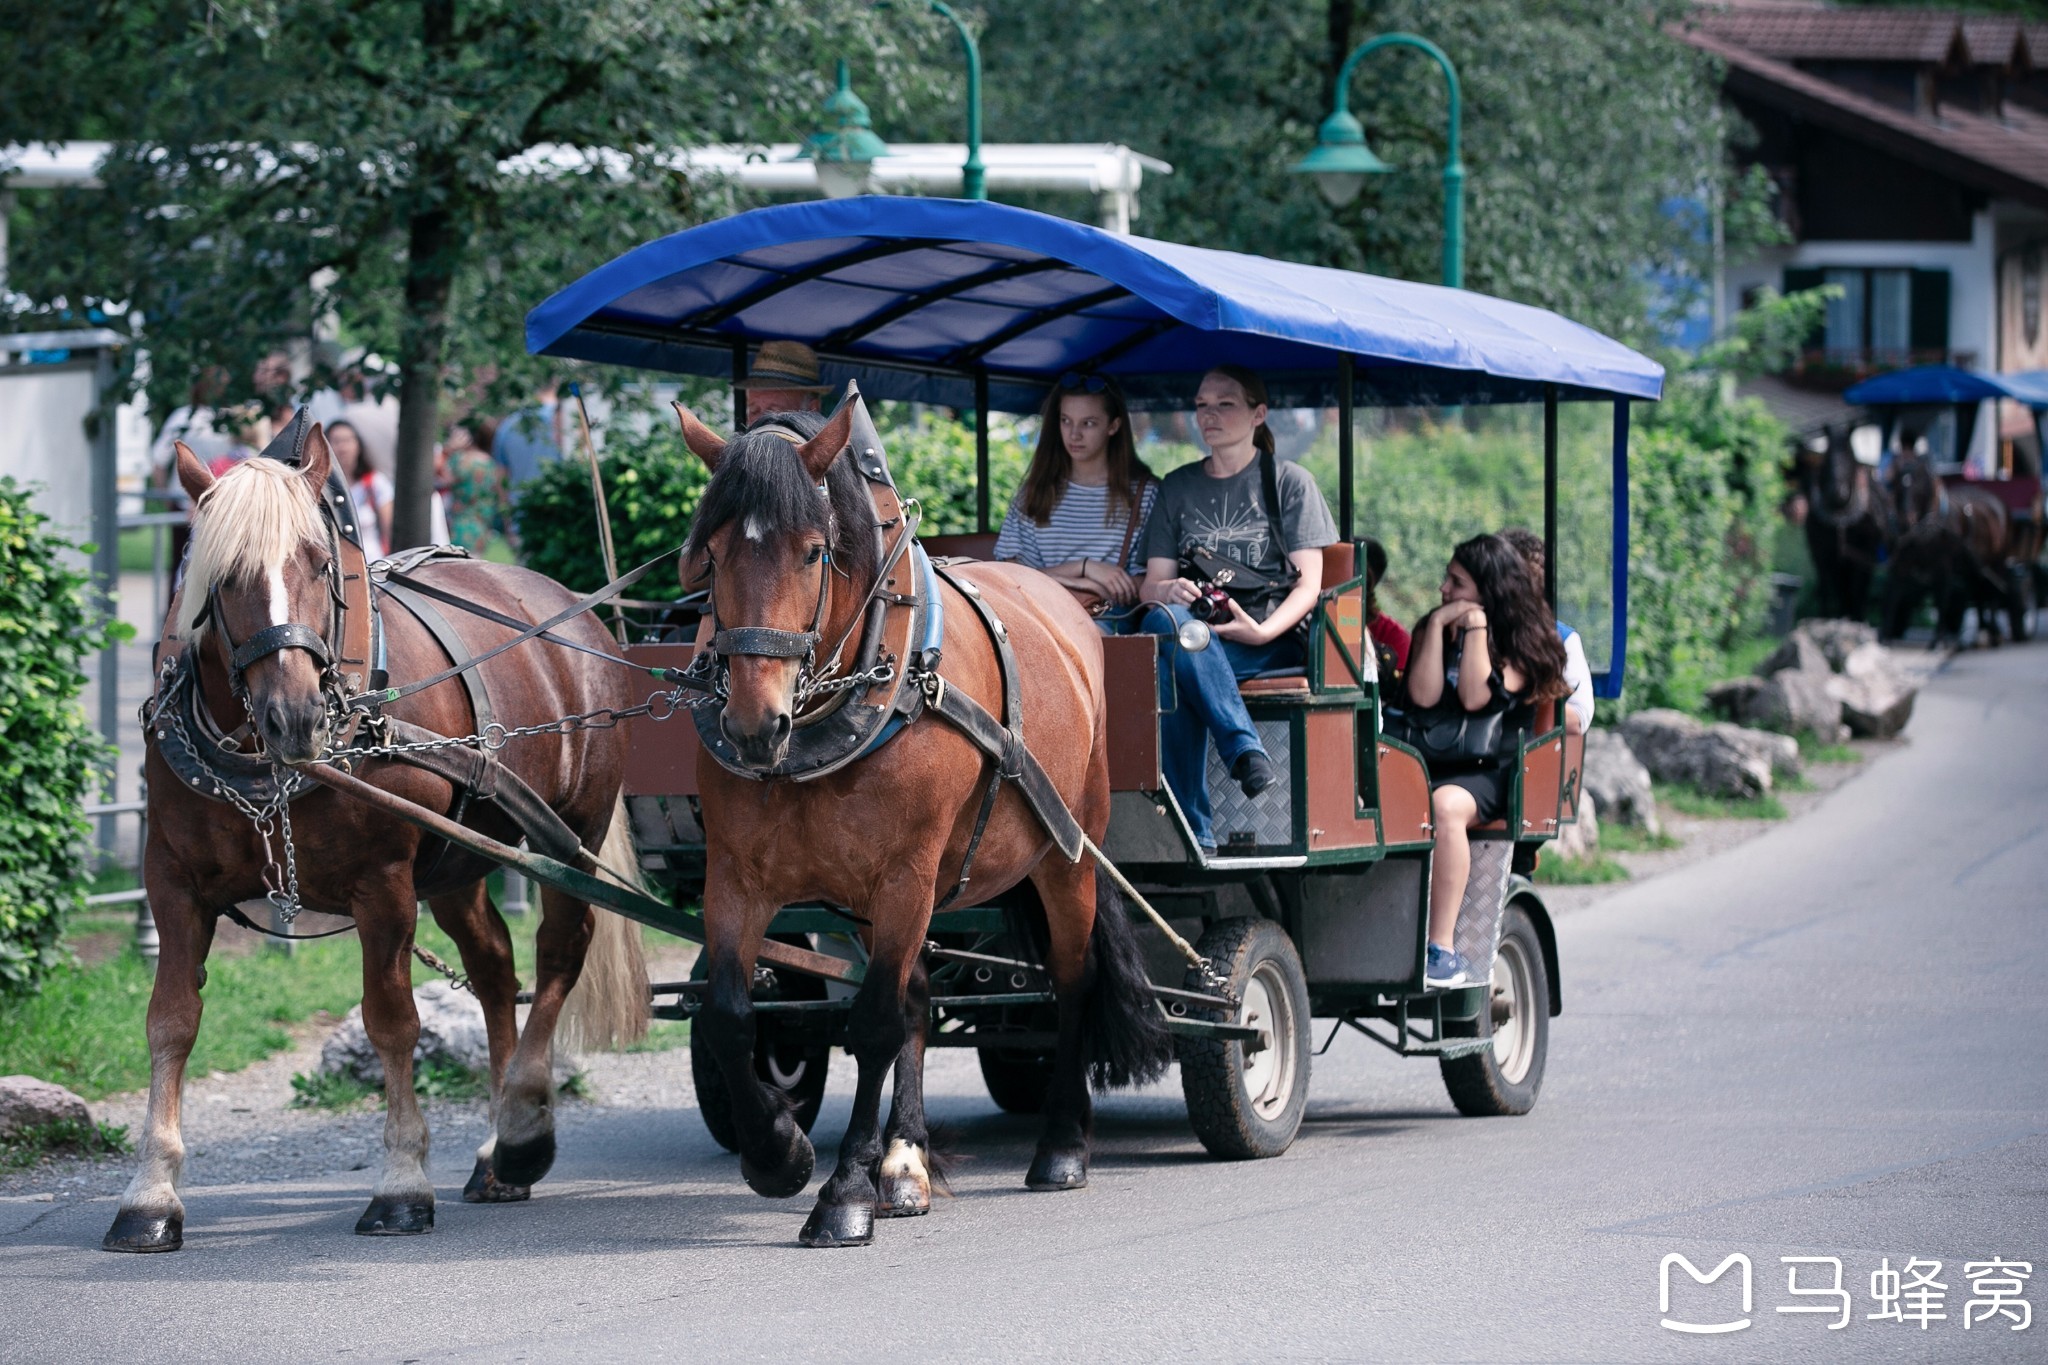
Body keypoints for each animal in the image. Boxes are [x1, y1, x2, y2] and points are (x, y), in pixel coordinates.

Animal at [105, 431, 647, 1252]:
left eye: (319, 562)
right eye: (221, 576)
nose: (294, 715)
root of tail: (571, 614)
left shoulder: (384, 883)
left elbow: (392, 1023)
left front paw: (400, 1181)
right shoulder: (172, 882)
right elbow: (170, 1021)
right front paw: (150, 1192)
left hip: (565, 834)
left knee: (559, 953)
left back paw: (523, 1120)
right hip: (463, 858)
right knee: (495, 967)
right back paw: (497, 1148)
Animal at [671, 394, 1171, 1252]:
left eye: (814, 552)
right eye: (710, 552)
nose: (752, 725)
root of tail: (1063, 603)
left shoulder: (905, 870)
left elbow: (872, 1022)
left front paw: (843, 1192)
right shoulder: (737, 875)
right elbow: (730, 1013)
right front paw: (779, 1152)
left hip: (1065, 852)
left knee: (1071, 980)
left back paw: (1061, 1144)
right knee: (918, 993)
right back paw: (905, 1162)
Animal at [1875, 444, 2023, 646]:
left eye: (1919, 482)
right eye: (1897, 482)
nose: (1904, 520)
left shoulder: (1942, 566)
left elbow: (1941, 598)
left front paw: (1938, 639)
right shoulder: (1900, 564)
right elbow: (1892, 595)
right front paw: (1884, 637)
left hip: (1997, 562)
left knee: (1994, 593)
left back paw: (1994, 633)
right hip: (1973, 567)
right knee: (1978, 594)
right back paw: (1983, 630)